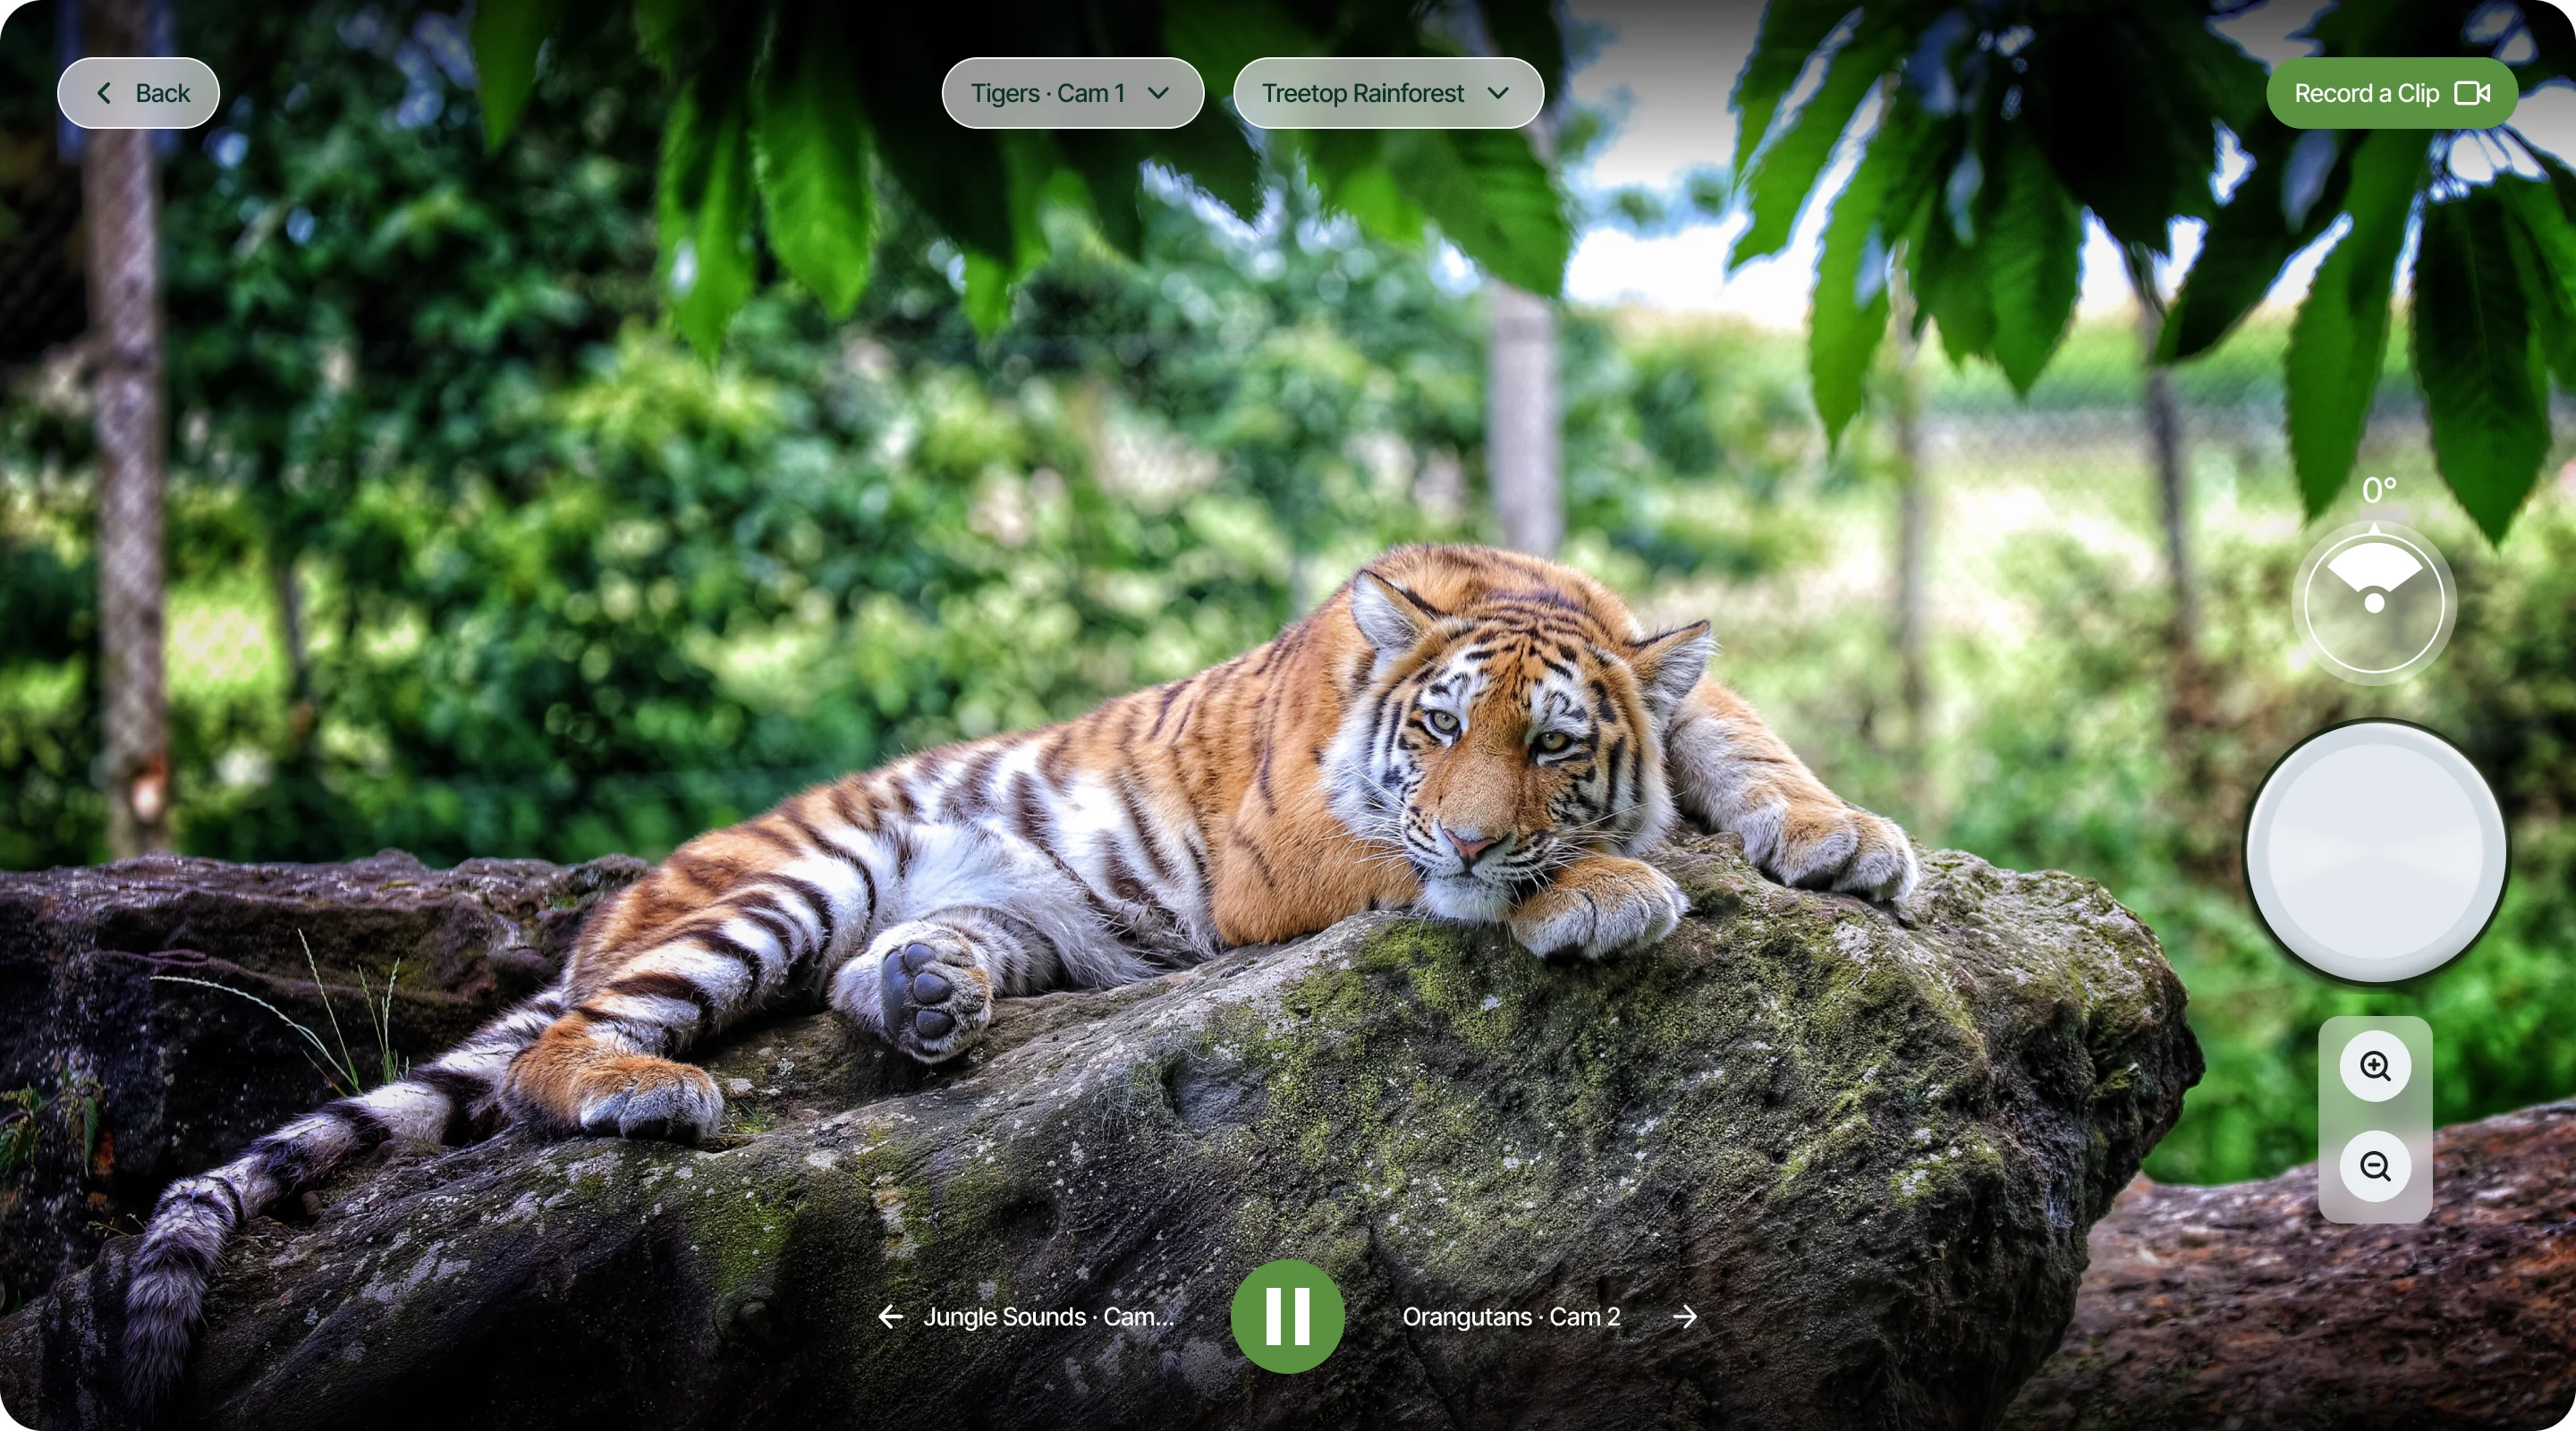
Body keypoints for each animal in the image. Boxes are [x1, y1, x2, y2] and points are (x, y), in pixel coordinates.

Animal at [119, 543, 1916, 1406]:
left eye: (1549, 746)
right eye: (1437, 729)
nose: (1483, 833)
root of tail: (617, 902)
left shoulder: (1675, 703)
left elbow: (1741, 734)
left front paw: (1843, 840)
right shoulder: (1284, 851)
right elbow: (1424, 873)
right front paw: (1600, 889)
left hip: (990, 919)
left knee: (864, 984)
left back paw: (927, 1000)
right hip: (782, 884)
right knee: (555, 1056)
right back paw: (652, 1094)